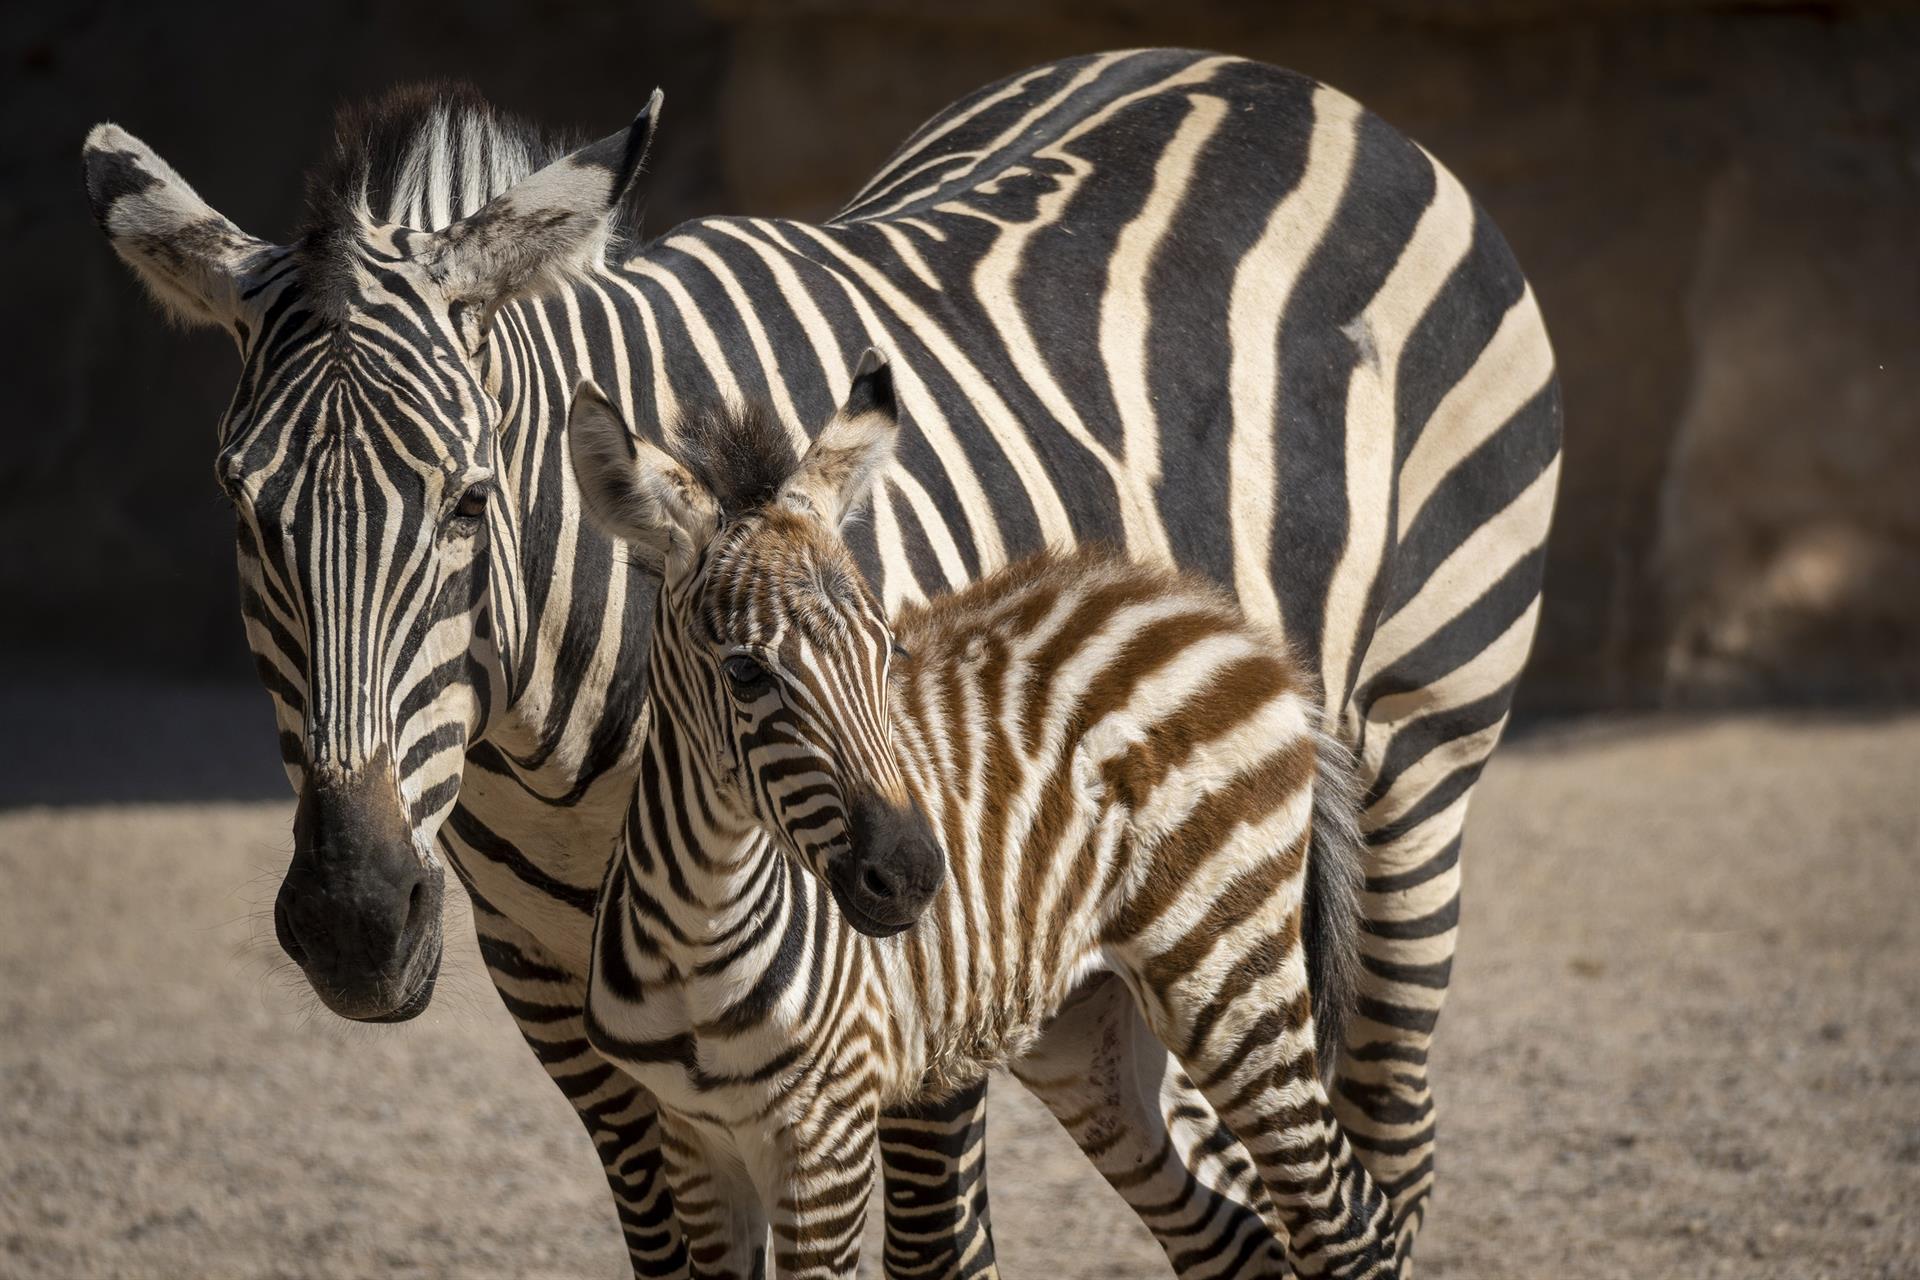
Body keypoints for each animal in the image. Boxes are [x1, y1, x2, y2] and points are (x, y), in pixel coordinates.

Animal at [569, 354, 1398, 1279]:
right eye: (746, 673)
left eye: (887, 651)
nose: (913, 875)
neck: (697, 946)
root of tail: (1225, 621)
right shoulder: (692, 1137)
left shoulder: (827, 1136)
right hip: (1088, 1030)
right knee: (1240, 1238)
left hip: (1229, 975)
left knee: (1345, 1216)